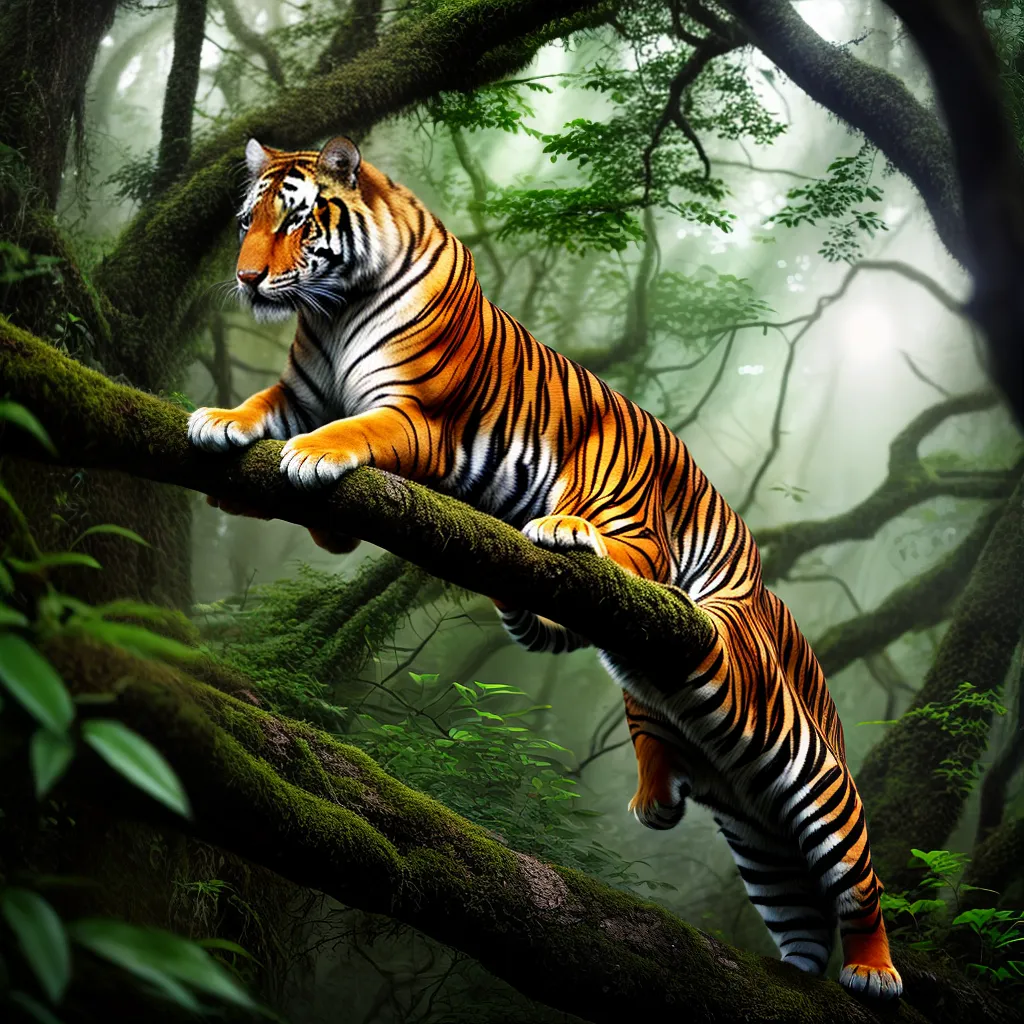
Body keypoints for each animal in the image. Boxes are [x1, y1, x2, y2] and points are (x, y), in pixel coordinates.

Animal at [188, 135, 902, 999]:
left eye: (295, 220)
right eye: (246, 223)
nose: (247, 279)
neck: (333, 310)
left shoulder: (416, 417)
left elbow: (353, 430)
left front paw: (310, 457)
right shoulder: (301, 388)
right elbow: (263, 408)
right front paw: (219, 423)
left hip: (751, 687)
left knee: (856, 871)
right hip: (756, 836)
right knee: (793, 911)